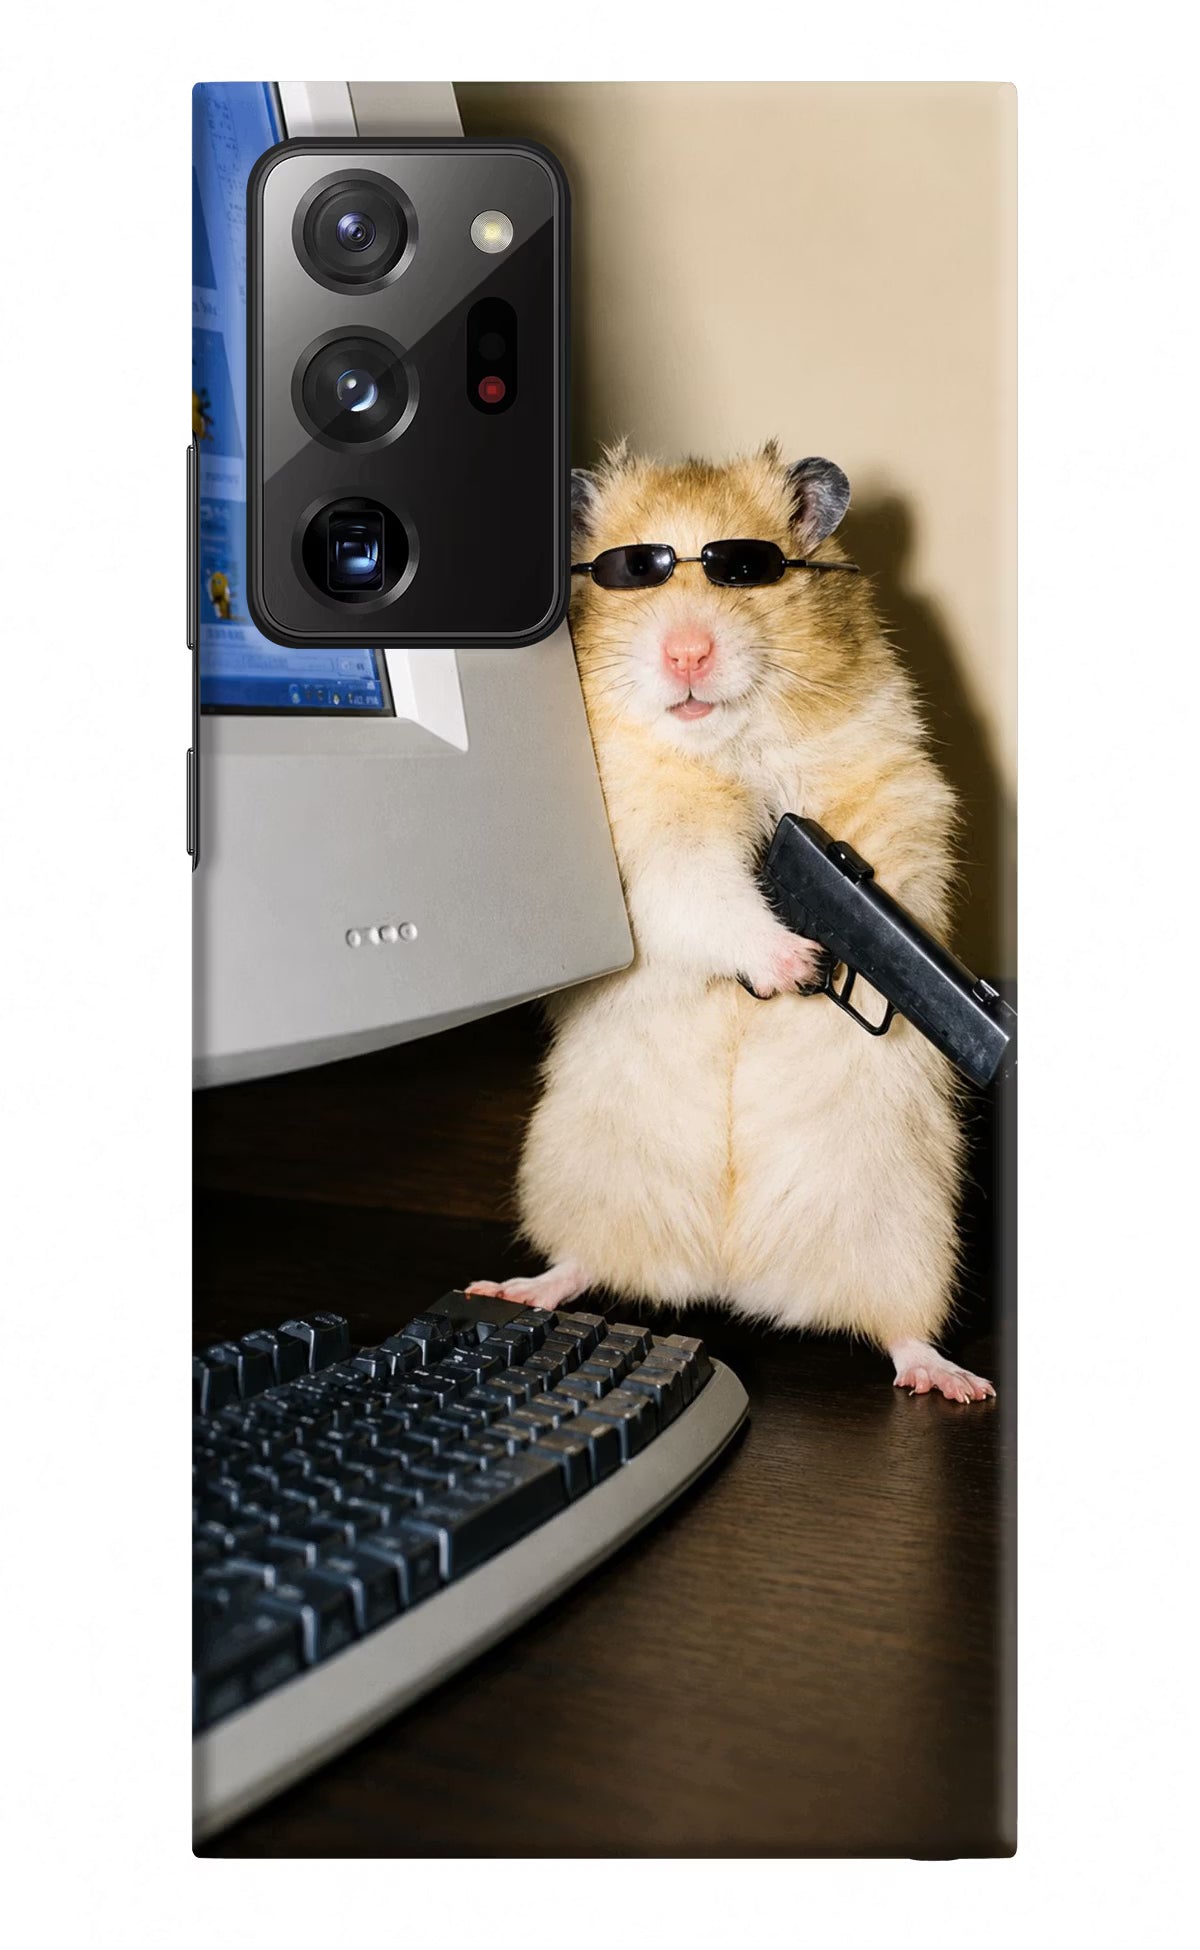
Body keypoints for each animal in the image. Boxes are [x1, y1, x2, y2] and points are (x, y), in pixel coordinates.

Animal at [468, 442, 993, 1402]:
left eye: (747, 570)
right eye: (633, 572)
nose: (686, 653)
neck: (726, 746)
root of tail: (730, 1276)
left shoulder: (895, 790)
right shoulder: (648, 851)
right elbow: (707, 895)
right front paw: (795, 964)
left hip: (907, 1229)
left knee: (900, 1328)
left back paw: (954, 1382)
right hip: (581, 1177)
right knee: (582, 1263)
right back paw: (515, 1288)